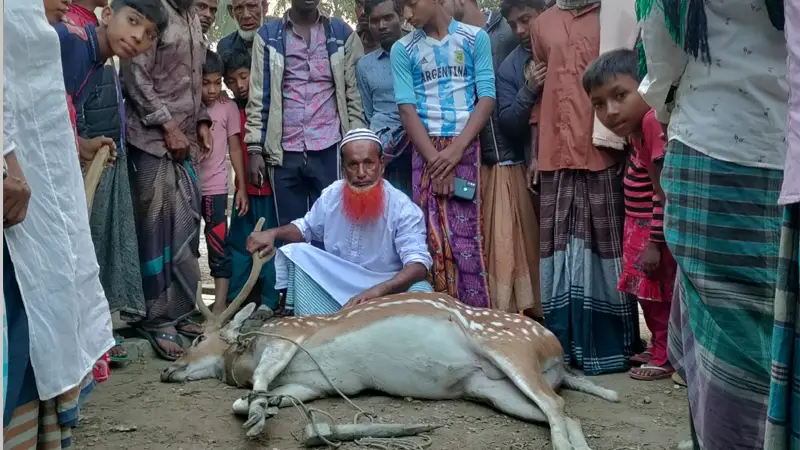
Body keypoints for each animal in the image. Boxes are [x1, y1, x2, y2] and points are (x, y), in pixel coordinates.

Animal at [161, 220, 620, 448]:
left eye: (197, 339)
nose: (168, 370)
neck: (245, 353)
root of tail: (555, 351)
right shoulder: (313, 385)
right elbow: (259, 397)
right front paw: (265, 409)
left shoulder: (288, 339)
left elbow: (257, 383)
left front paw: (258, 417)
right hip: (490, 388)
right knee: (563, 410)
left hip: (510, 348)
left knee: (555, 404)